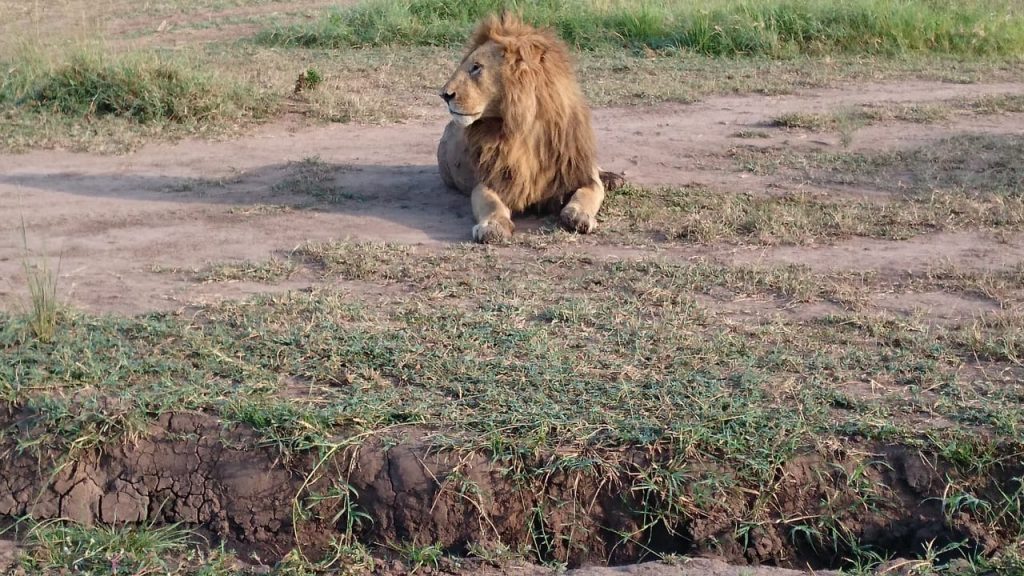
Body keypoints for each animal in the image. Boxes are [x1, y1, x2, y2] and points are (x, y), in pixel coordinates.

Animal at [436, 12, 618, 241]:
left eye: (476, 67)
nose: (444, 94)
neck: (526, 129)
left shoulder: (578, 171)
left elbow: (588, 192)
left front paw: (579, 216)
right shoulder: (490, 180)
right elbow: (490, 203)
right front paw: (492, 227)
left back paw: (613, 178)